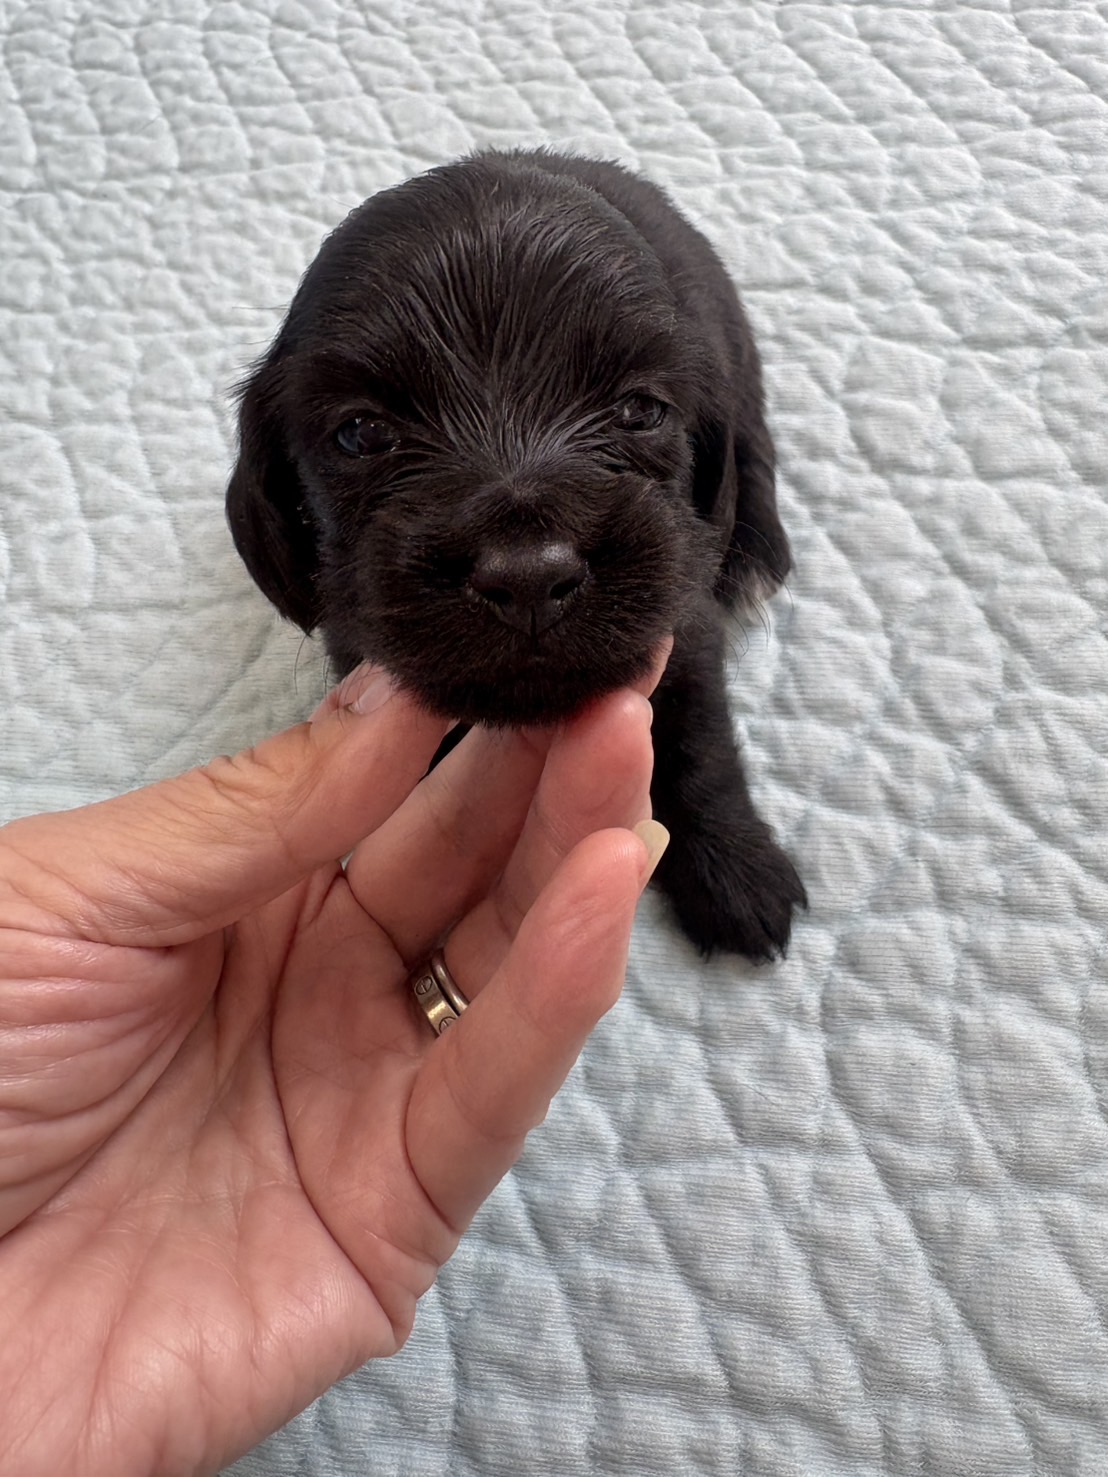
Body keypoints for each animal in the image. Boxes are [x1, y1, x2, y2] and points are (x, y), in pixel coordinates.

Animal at [227, 149, 805, 959]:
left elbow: (699, 739)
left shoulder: (680, 616)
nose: (529, 579)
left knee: (754, 444)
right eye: (362, 432)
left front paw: (735, 869)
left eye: (640, 410)